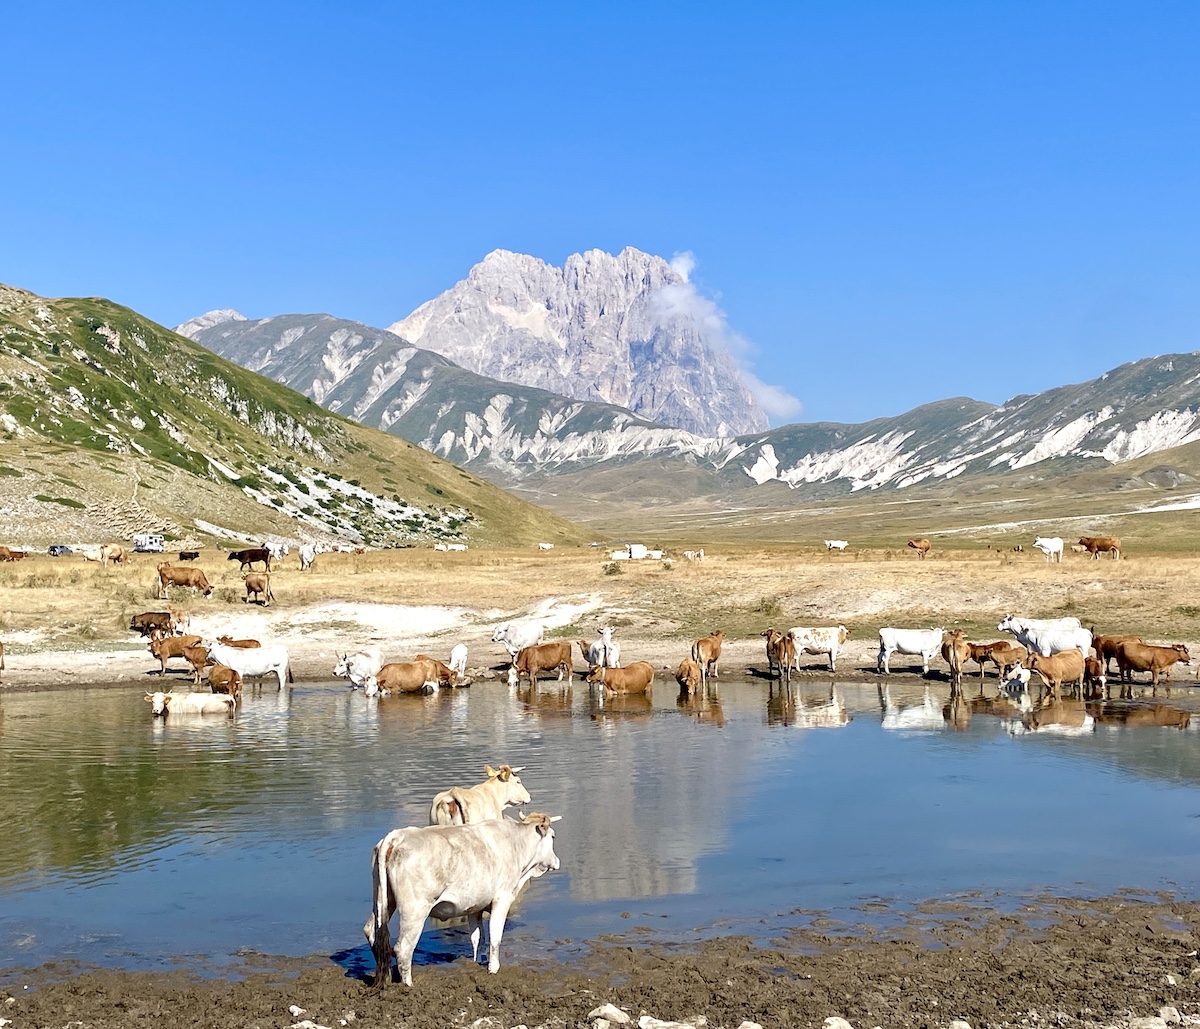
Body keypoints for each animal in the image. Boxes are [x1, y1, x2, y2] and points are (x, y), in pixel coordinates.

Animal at [362, 810, 559, 988]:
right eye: (553, 836)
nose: (557, 861)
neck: (516, 843)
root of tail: (398, 836)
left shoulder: (475, 907)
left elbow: (478, 937)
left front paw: (475, 962)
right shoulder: (502, 899)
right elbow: (495, 937)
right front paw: (493, 969)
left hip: (384, 901)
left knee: (373, 932)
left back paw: (386, 976)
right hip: (415, 910)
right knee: (403, 948)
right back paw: (408, 986)